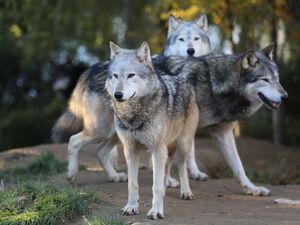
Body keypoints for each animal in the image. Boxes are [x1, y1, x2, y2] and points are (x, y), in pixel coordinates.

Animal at [105, 41, 199, 219]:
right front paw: (131, 207)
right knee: (167, 167)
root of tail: (181, 79)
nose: (117, 95)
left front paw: (156, 211)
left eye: (131, 75)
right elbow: (132, 184)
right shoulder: (130, 150)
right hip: (166, 149)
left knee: (181, 166)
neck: (134, 115)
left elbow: (155, 186)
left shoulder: (157, 149)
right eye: (115, 76)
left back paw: (186, 192)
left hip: (182, 144)